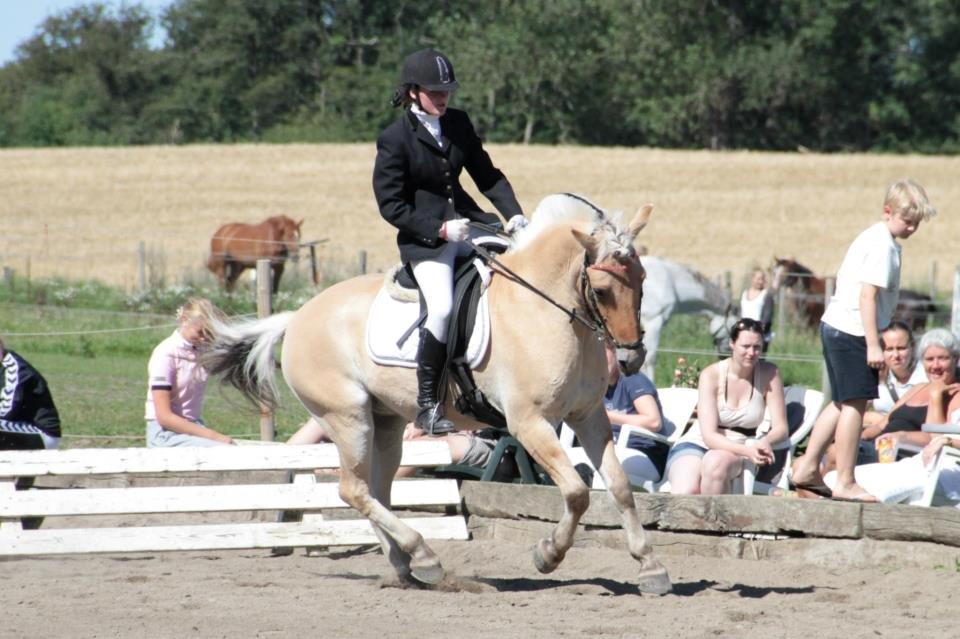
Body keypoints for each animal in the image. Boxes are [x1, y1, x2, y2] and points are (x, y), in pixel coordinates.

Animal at [204, 194, 668, 596]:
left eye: (643, 281)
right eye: (602, 290)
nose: (630, 358)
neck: (547, 310)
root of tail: (297, 316)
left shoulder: (588, 416)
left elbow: (620, 486)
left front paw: (651, 567)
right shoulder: (529, 423)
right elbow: (576, 492)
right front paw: (547, 555)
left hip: (386, 422)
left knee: (376, 489)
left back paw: (406, 567)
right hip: (347, 417)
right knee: (352, 490)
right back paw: (424, 555)